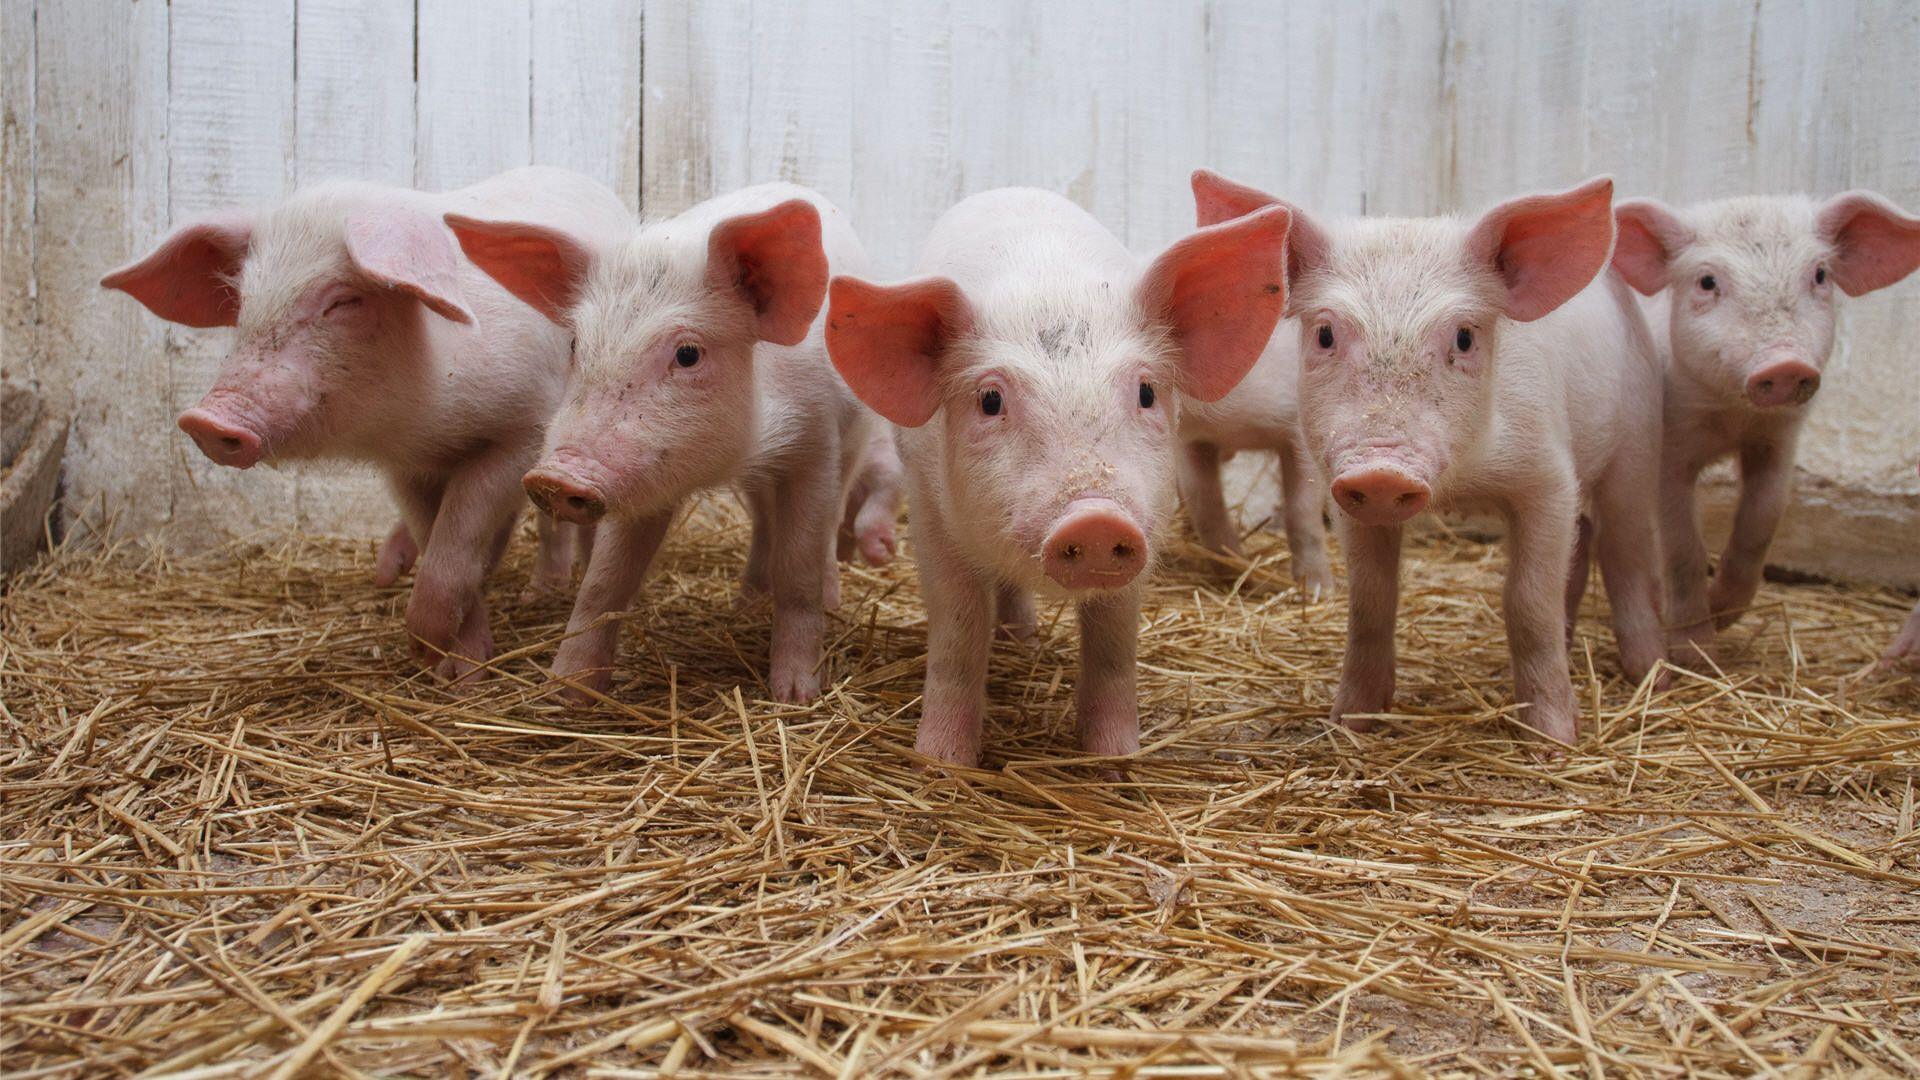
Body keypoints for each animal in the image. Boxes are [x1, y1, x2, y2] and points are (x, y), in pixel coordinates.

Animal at [100, 167, 632, 680]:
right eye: (243, 300)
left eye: (341, 301)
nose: (206, 419)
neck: (427, 421)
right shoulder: (405, 467)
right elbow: (434, 534)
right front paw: (450, 668)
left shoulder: (525, 430)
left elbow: (458, 535)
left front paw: (444, 661)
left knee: (551, 521)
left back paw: (544, 592)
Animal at [445, 183, 875, 704]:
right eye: (575, 344)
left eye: (688, 354)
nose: (555, 476)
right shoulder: (644, 478)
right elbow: (604, 579)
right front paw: (563, 692)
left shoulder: (816, 442)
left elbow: (800, 567)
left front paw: (796, 696)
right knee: (762, 520)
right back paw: (747, 599)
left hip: (856, 439)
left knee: (828, 523)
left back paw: (820, 600)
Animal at [824, 188, 1291, 766]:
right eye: (990, 400)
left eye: (1146, 392)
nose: (1094, 518)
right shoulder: (930, 515)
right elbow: (958, 631)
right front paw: (943, 764)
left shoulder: (1143, 531)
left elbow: (1113, 643)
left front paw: (1114, 764)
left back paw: (1023, 641)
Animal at [1176, 327, 1334, 598]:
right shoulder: (1192, 441)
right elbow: (1206, 508)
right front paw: (1236, 573)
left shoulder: (1302, 430)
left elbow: (1302, 512)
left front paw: (1317, 591)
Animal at [1611, 193, 1920, 658]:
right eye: (1707, 282)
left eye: (1820, 274)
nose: (1785, 364)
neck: (1733, 417)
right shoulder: (1668, 450)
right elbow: (1682, 546)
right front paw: (1696, 652)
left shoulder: (1779, 439)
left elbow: (1762, 519)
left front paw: (1723, 612)